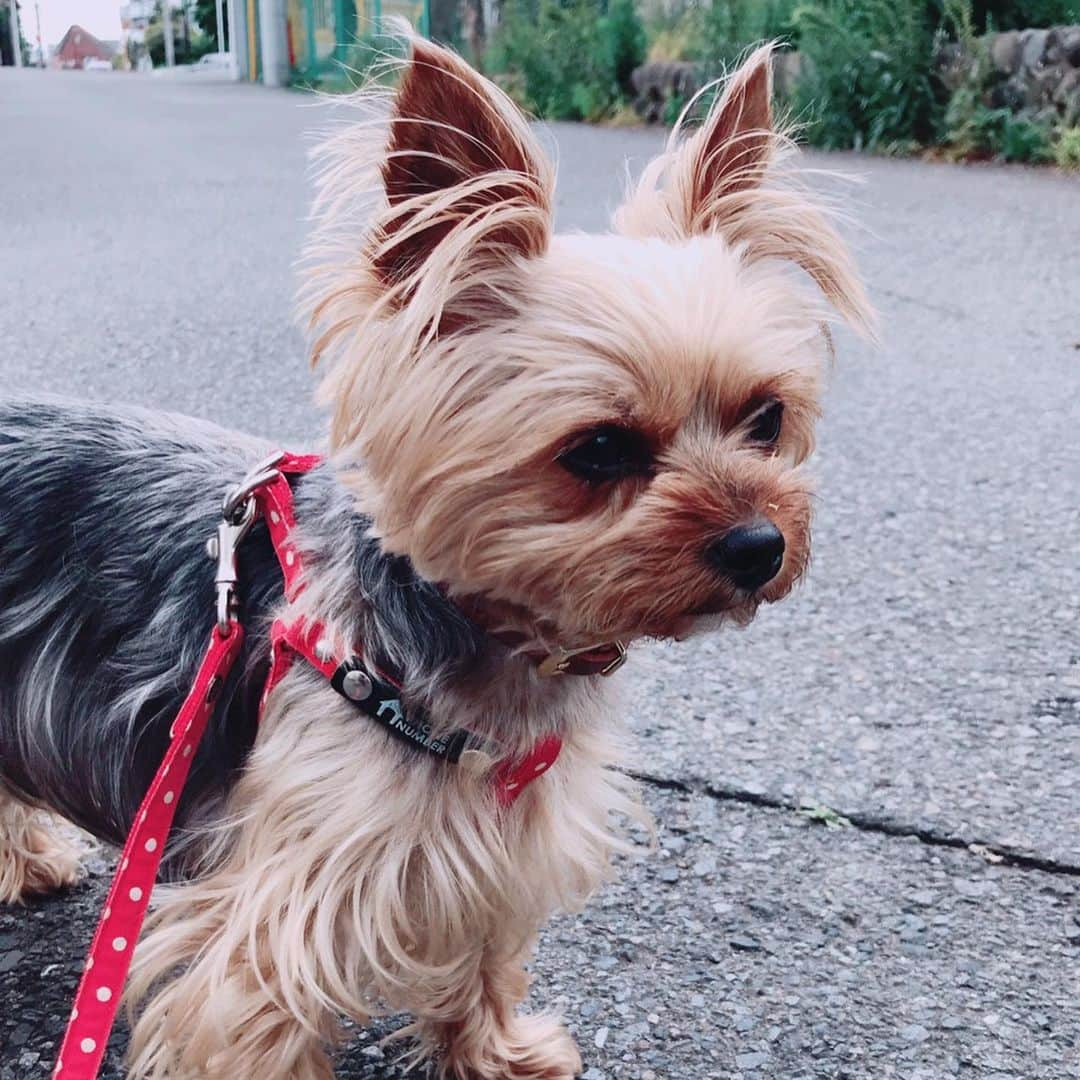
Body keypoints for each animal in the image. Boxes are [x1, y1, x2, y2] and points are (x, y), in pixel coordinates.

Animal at [0, 33, 872, 1080]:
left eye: (767, 418)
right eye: (598, 450)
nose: (760, 544)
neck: (502, 641)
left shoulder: (501, 843)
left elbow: (486, 954)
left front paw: (495, 1049)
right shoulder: (276, 907)